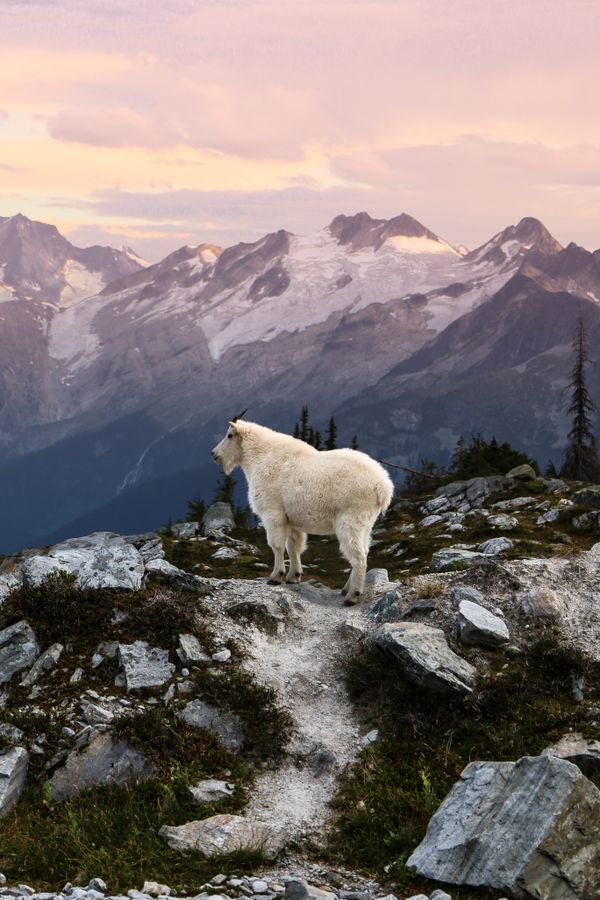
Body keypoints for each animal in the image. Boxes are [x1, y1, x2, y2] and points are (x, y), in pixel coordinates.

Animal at [211, 418, 394, 600]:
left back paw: (352, 596)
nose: (214, 454)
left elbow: (276, 545)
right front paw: (294, 576)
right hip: (365, 524)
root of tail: (382, 486)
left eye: (229, 435)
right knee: (363, 551)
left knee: (358, 557)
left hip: (351, 520)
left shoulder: (272, 513)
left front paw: (276, 577)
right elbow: (293, 546)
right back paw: (345, 589)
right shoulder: (292, 520)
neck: (259, 457)